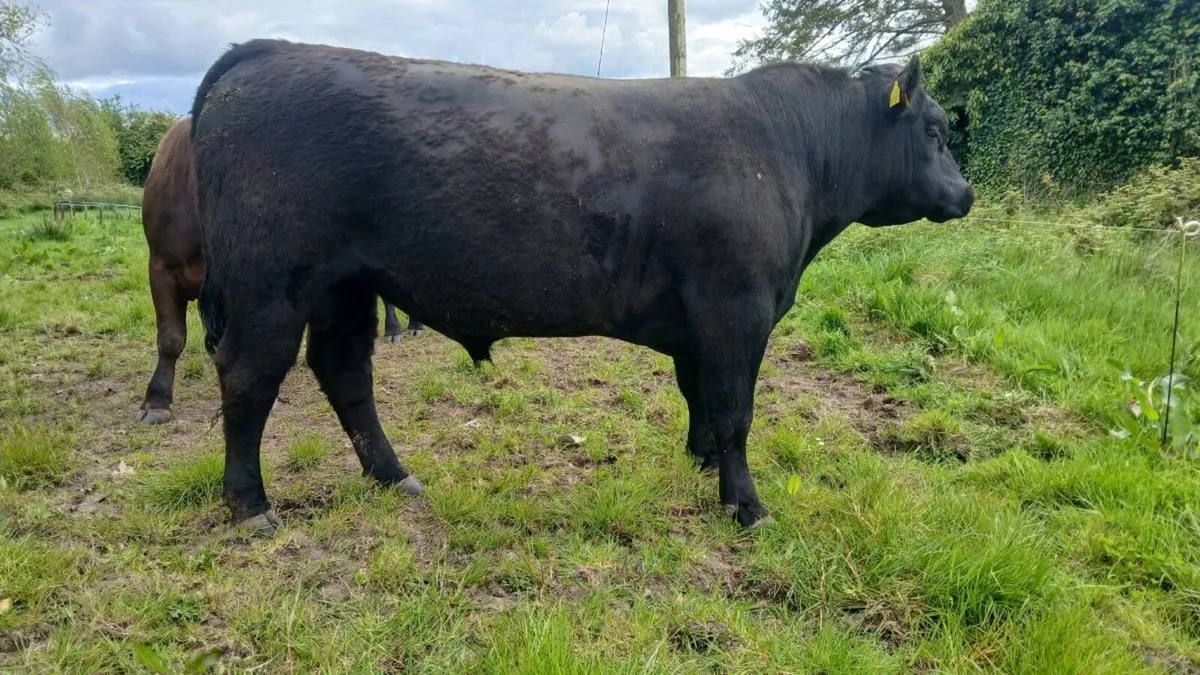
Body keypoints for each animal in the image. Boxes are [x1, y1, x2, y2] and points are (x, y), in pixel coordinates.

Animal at [188, 38, 973, 534]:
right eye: (935, 132)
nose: (966, 194)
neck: (789, 147)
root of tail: (270, 51)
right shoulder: (737, 309)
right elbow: (735, 411)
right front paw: (747, 507)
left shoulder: (699, 321)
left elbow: (699, 397)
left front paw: (702, 463)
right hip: (270, 288)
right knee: (249, 379)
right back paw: (250, 506)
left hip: (345, 288)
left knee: (345, 374)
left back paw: (393, 475)